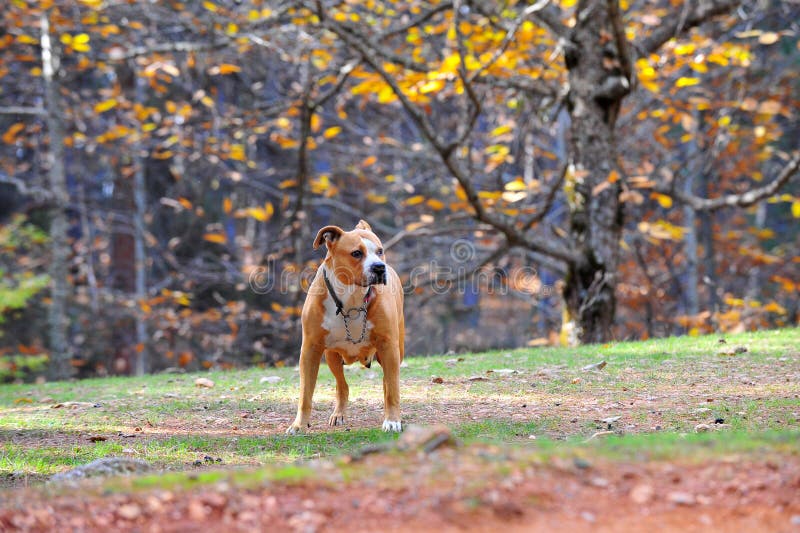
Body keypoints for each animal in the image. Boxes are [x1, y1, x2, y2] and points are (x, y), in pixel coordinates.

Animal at [284, 219, 404, 432]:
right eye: (356, 253)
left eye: (380, 251)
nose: (379, 267)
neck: (352, 297)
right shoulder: (310, 349)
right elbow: (305, 392)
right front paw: (299, 425)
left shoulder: (389, 345)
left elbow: (392, 389)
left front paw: (392, 420)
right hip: (331, 355)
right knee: (342, 385)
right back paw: (338, 413)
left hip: (397, 350)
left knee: (387, 382)